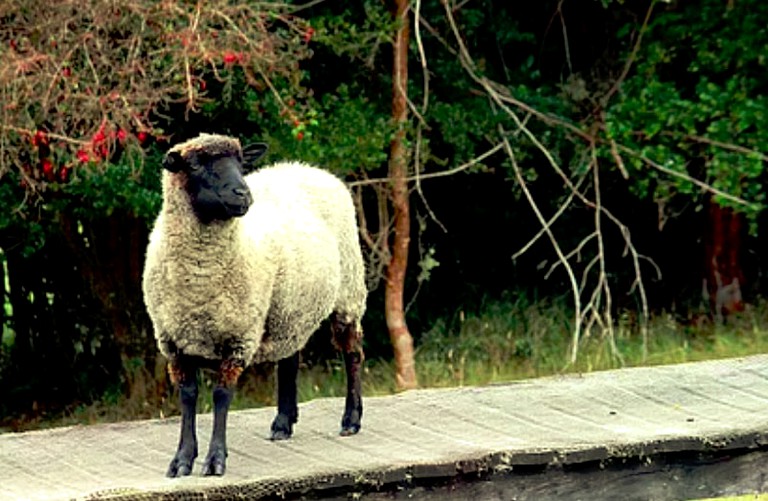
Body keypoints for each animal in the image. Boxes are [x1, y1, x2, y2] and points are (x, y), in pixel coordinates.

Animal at [142, 133, 368, 476]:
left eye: (240, 163)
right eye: (195, 165)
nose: (243, 194)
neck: (200, 280)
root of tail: (307, 167)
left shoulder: (239, 336)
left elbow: (221, 396)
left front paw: (215, 460)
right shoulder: (173, 342)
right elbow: (188, 397)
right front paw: (182, 460)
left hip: (348, 292)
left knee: (352, 354)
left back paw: (351, 419)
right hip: (290, 307)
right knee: (289, 359)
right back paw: (283, 423)